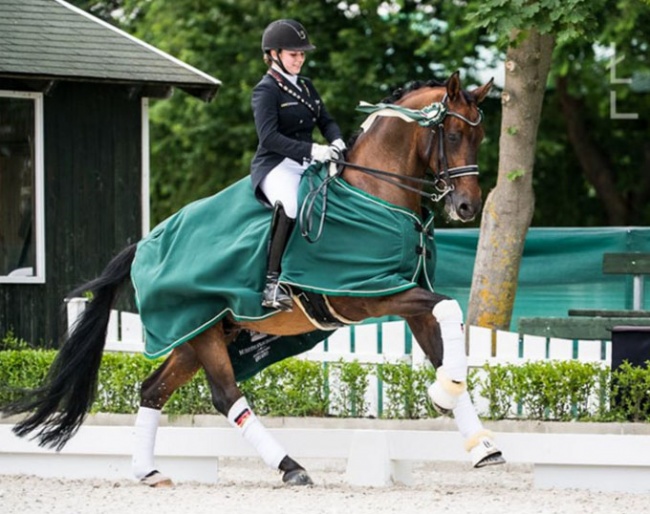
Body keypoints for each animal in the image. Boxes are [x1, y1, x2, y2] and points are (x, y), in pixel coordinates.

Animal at [2, 71, 498, 484]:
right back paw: (290, 467)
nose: (467, 207)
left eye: (480, 136)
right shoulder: (370, 294)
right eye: (454, 134)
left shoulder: (406, 294)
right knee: (225, 395)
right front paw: (443, 397)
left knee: (152, 389)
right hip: (200, 330)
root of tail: (144, 245)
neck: (375, 194)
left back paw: (148, 471)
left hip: (196, 335)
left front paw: (476, 436)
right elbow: (447, 308)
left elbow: (443, 340)